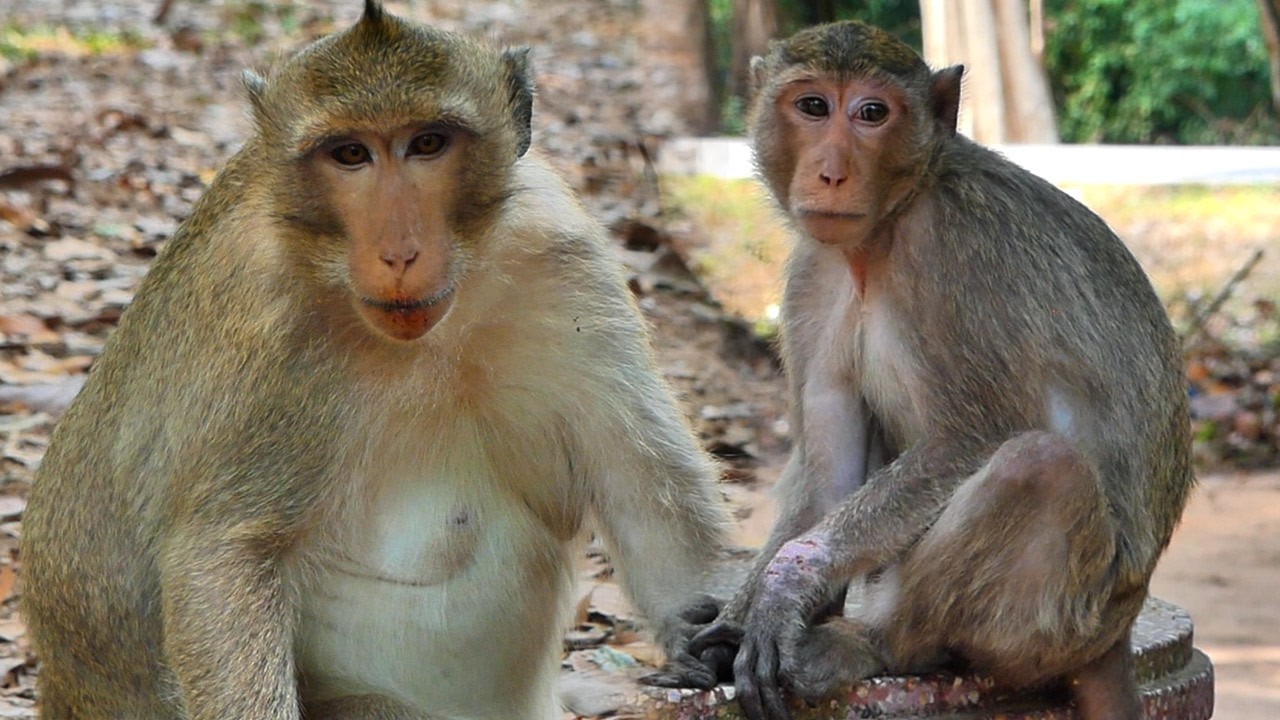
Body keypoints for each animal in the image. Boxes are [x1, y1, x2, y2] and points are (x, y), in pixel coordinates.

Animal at [19, 4, 731, 718]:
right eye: (350, 154)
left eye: (428, 144)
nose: (398, 253)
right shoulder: (261, 325)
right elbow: (220, 556)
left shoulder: (561, 257)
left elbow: (644, 485)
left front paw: (718, 638)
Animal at [684, 21, 1194, 720]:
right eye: (812, 106)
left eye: (872, 113)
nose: (832, 172)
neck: (884, 234)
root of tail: (1118, 631)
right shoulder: (812, 271)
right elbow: (831, 471)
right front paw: (738, 621)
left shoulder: (958, 248)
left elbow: (973, 436)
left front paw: (787, 584)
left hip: (1061, 620)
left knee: (1039, 465)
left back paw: (873, 643)